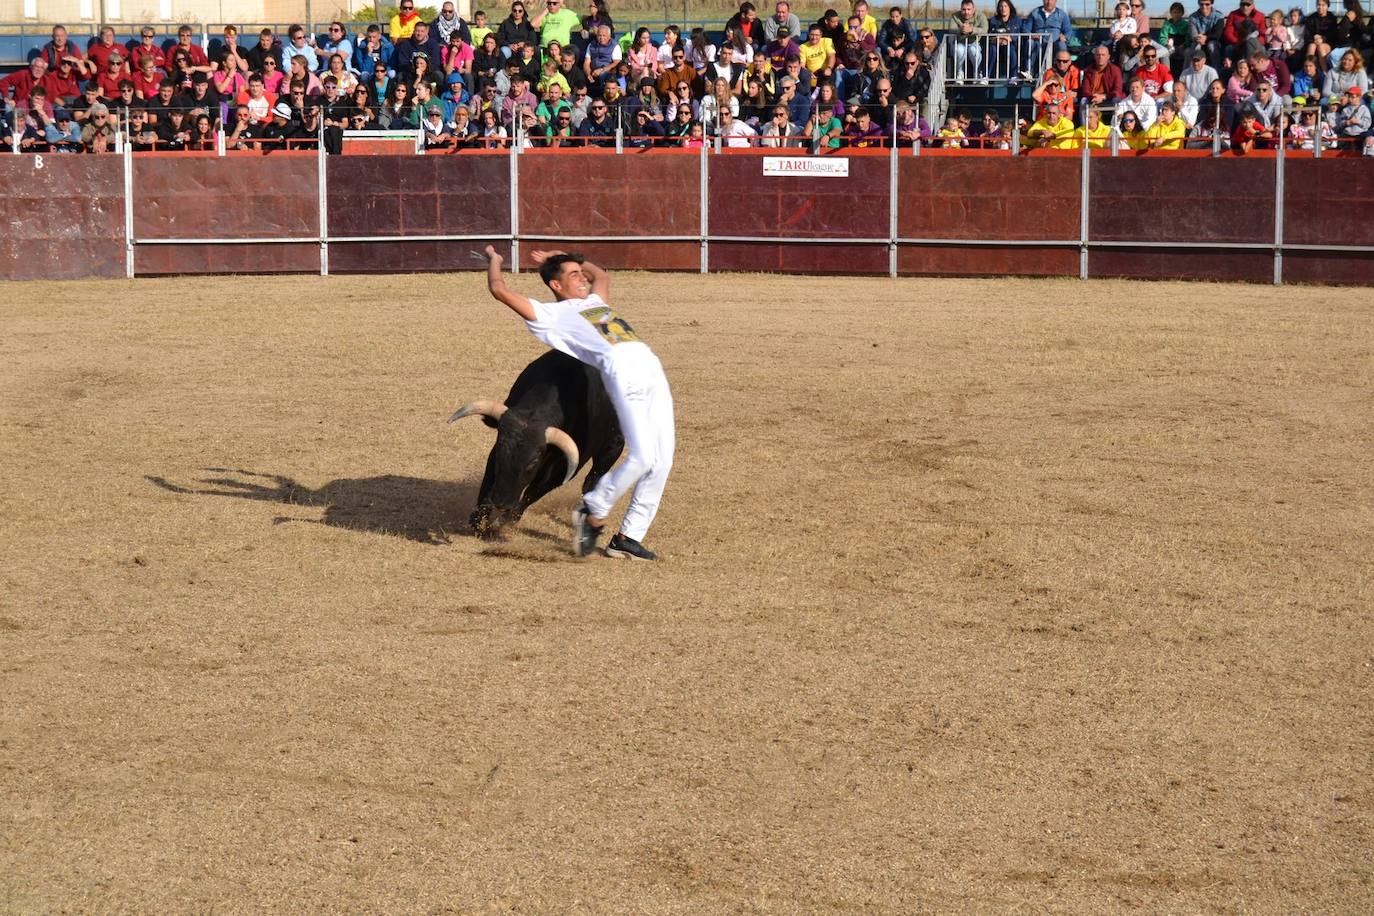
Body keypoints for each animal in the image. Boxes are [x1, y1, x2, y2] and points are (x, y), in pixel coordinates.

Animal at [447, 351, 626, 538]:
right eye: (501, 448)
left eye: (533, 462)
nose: (502, 502)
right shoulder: (494, 457)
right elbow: (489, 481)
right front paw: (479, 519)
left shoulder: (563, 470)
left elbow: (531, 494)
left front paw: (500, 523)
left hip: (613, 447)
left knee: (591, 481)